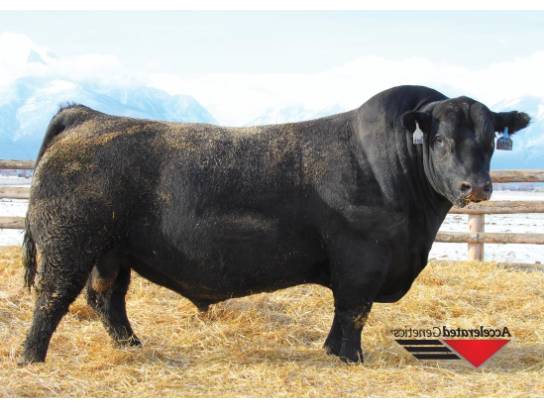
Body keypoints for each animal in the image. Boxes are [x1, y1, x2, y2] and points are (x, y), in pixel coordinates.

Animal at [19, 85, 530, 365]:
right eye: (440, 139)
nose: (475, 186)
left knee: (107, 299)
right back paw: (30, 357)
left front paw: (331, 352)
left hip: (112, 251)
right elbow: (354, 311)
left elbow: (345, 315)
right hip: (70, 243)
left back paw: (132, 346)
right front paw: (350, 359)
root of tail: (86, 117)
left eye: (491, 138)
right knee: (54, 297)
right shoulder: (361, 259)